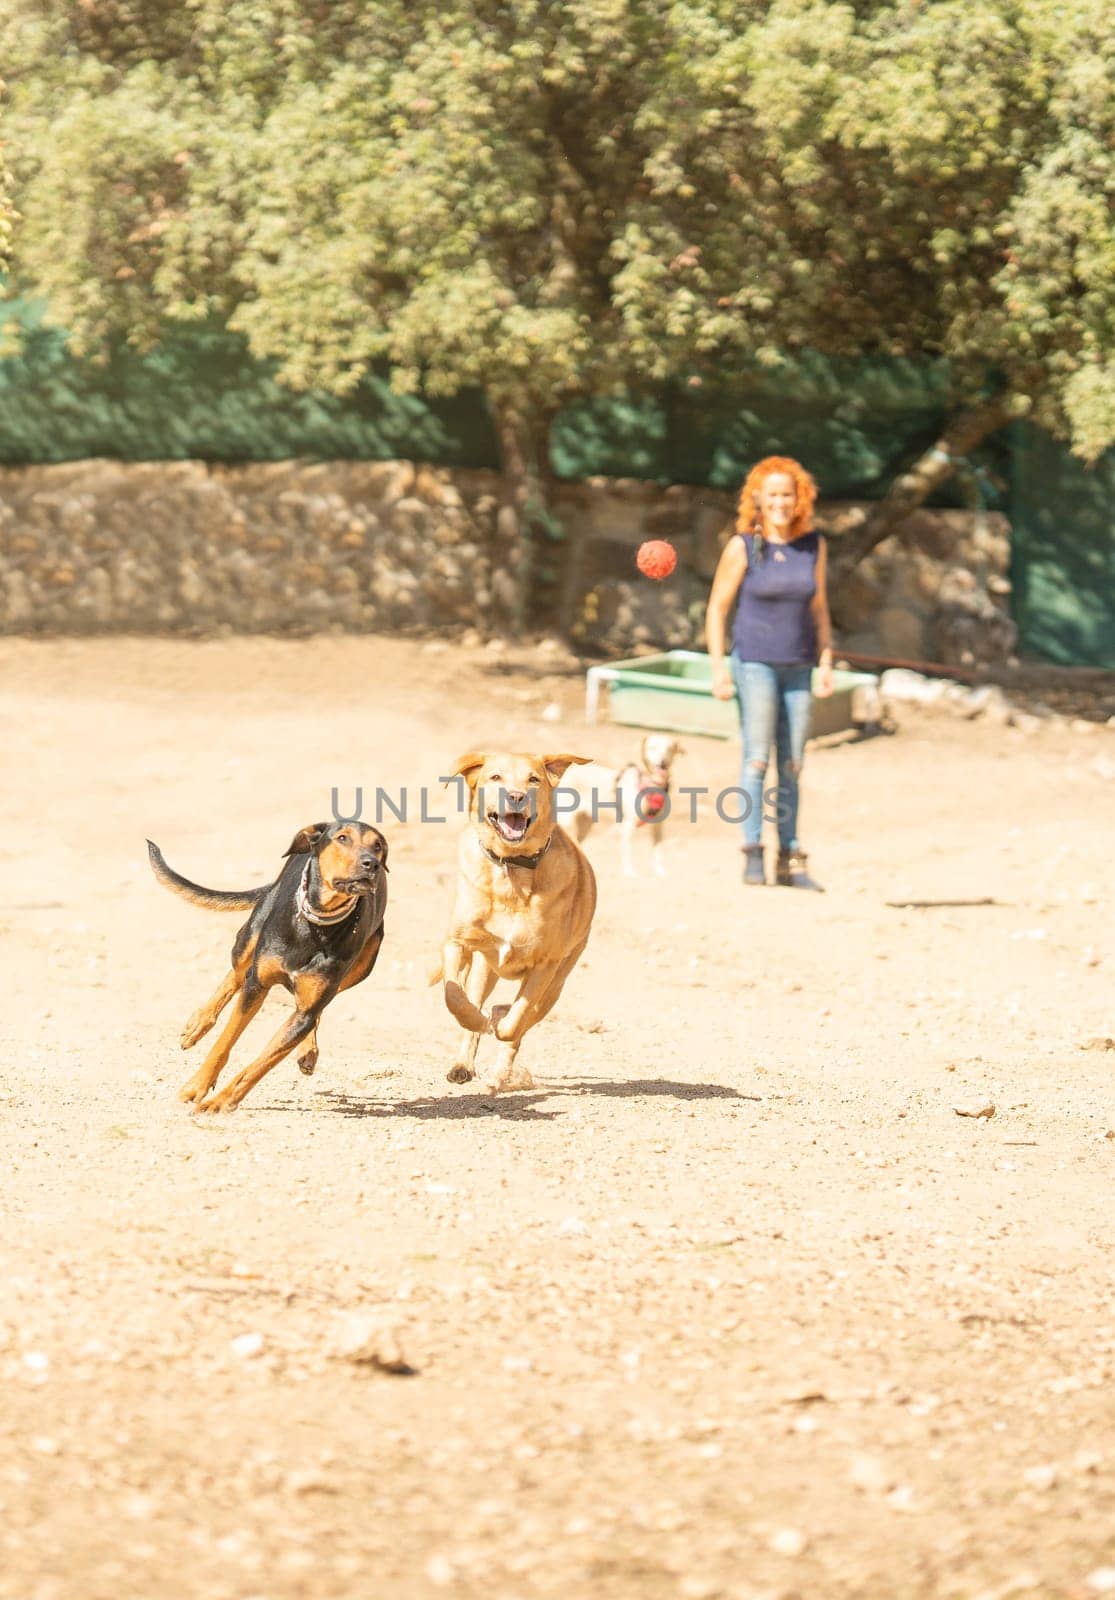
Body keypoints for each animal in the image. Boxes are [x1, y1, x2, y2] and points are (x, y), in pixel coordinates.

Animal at [145, 825, 387, 1113]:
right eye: (342, 838)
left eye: (377, 846)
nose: (371, 864)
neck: (316, 925)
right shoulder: (256, 985)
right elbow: (224, 1042)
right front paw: (197, 1087)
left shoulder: (306, 1010)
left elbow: (259, 1066)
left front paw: (221, 1101)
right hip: (251, 935)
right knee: (235, 975)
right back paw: (198, 1024)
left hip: (362, 967)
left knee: (315, 1009)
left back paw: (307, 1051)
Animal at [431, 755, 595, 1094]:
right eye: (495, 777)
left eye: (534, 779)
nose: (516, 796)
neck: (512, 868)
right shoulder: (457, 943)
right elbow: (455, 999)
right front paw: (479, 1021)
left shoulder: (545, 966)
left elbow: (516, 1021)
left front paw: (500, 1020)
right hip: (483, 971)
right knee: (474, 1003)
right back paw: (463, 1064)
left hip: (557, 984)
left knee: (522, 1023)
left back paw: (500, 1073)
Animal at [553, 732, 678, 883]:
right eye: (652, 748)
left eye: (669, 749)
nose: (662, 762)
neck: (652, 784)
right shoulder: (628, 826)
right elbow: (627, 852)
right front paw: (630, 873)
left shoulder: (658, 827)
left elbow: (657, 851)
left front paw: (660, 872)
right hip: (567, 821)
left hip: (585, 824)